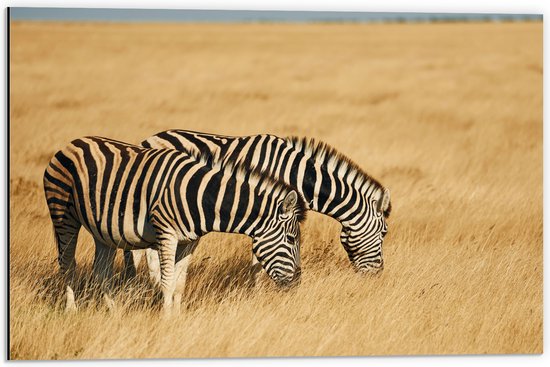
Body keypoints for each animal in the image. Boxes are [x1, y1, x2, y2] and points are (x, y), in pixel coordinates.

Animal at [44, 137, 306, 314]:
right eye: (291, 239)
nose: (297, 283)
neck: (202, 196)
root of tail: (71, 143)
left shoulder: (190, 241)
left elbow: (179, 283)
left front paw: (178, 318)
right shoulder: (166, 234)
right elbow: (167, 282)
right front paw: (166, 320)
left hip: (103, 230)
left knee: (101, 273)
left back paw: (114, 313)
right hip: (63, 215)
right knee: (67, 264)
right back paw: (71, 310)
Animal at [130, 129, 392, 288]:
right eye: (384, 233)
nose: (378, 276)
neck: (295, 174)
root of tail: (150, 138)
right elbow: (261, 259)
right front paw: (256, 293)